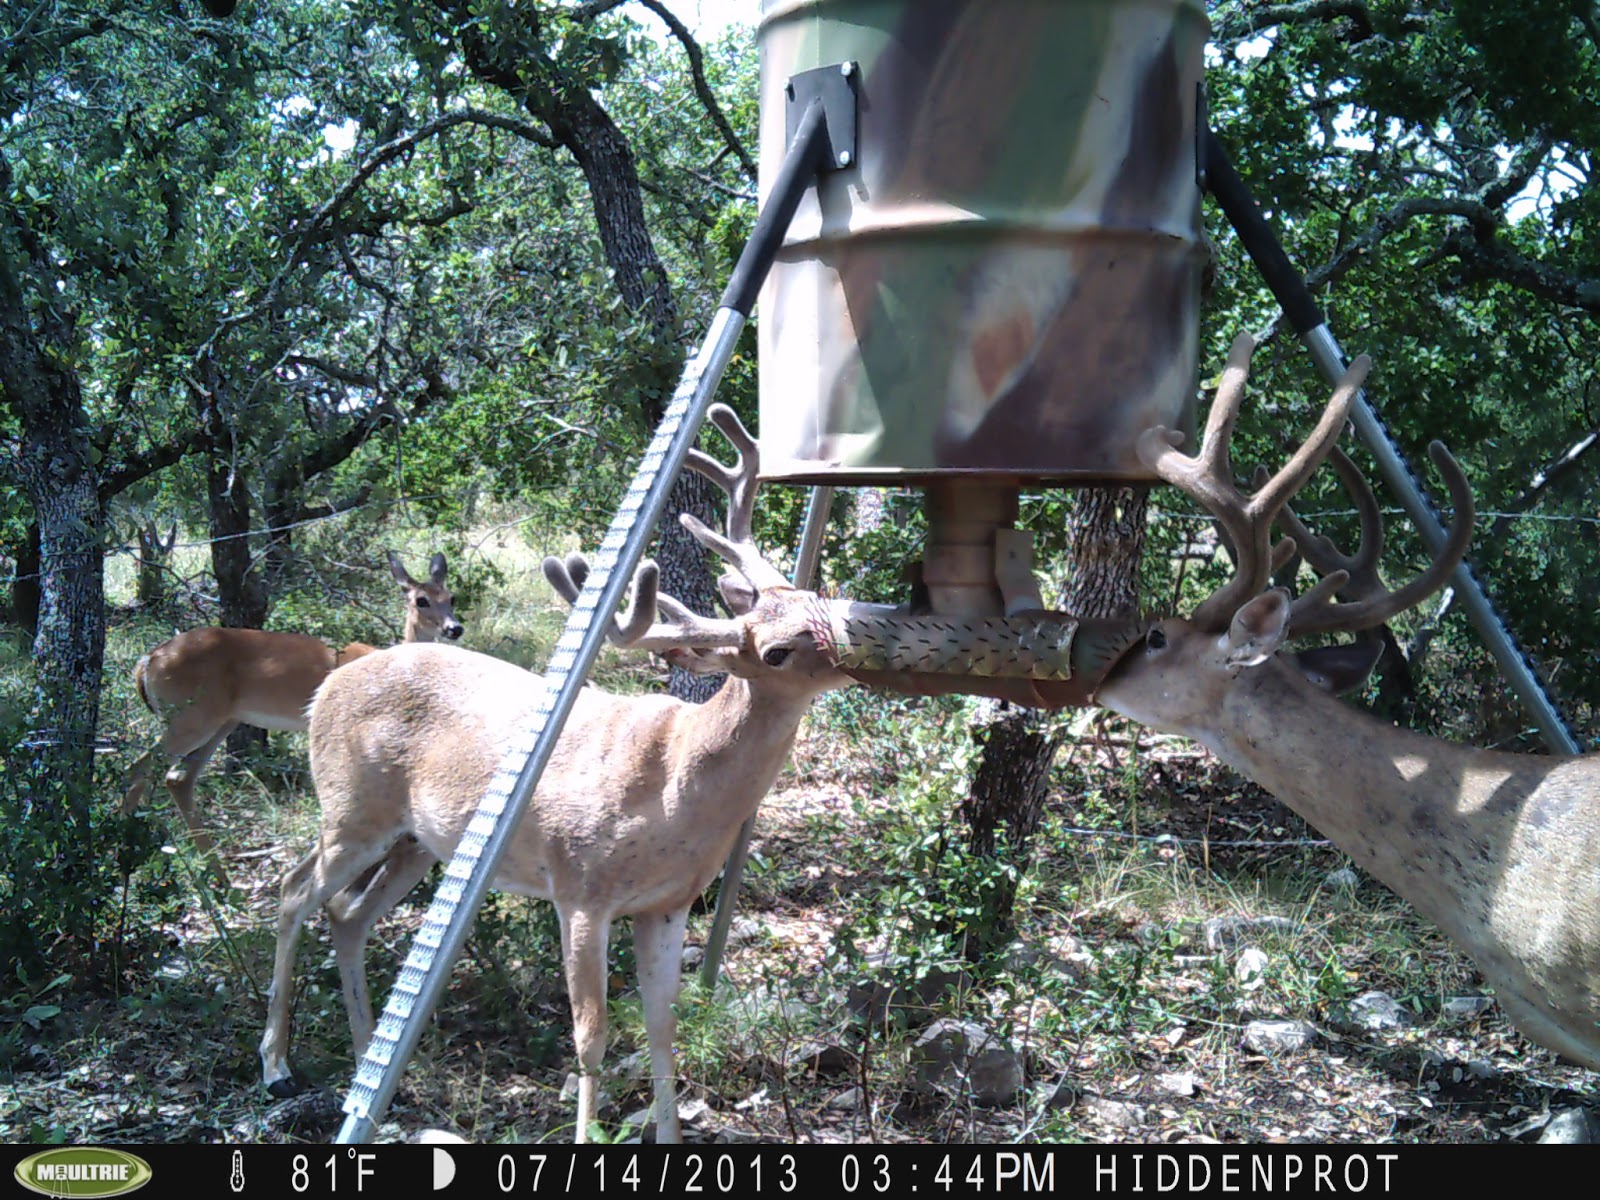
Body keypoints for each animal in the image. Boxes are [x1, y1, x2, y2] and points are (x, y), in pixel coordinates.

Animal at [122, 551, 464, 879]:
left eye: (451, 597)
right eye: (421, 600)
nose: (454, 628)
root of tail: (147, 660)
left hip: (220, 721)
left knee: (177, 778)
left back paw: (216, 880)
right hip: (191, 717)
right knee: (137, 768)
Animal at [256, 406, 852, 1143]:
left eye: (816, 596)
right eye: (775, 651)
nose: (858, 645)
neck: (678, 787)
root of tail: (326, 687)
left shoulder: (668, 902)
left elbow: (663, 1032)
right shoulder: (579, 889)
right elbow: (591, 1038)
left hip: (417, 840)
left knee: (345, 912)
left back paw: (372, 1068)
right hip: (351, 806)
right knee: (291, 891)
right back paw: (278, 1065)